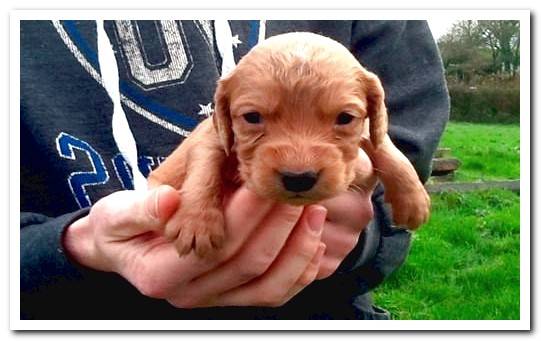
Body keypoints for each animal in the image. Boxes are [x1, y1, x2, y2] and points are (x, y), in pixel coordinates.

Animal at [148, 31, 430, 256]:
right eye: (252, 117)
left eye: (345, 118)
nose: (299, 178)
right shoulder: (210, 135)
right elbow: (204, 167)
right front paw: (195, 221)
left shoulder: (368, 131)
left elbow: (387, 147)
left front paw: (412, 198)